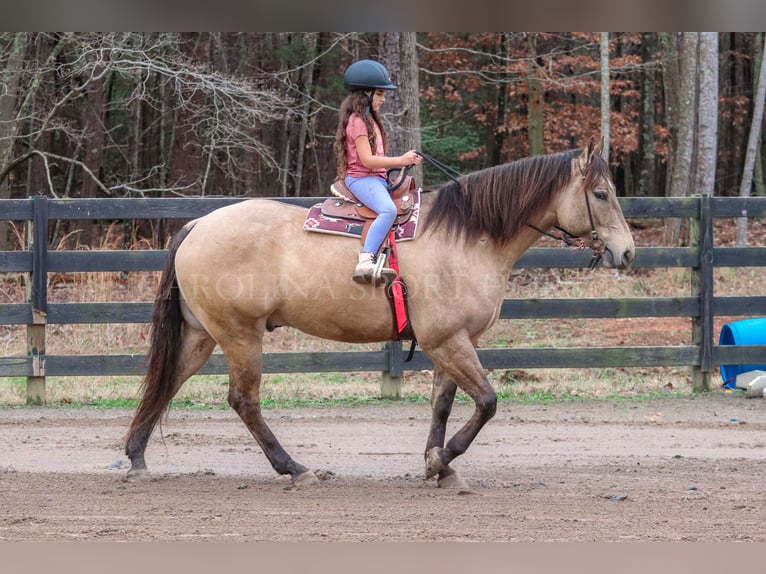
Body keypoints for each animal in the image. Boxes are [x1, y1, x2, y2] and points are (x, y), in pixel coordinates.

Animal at [123, 140, 636, 490]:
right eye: (602, 194)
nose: (628, 252)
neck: (468, 236)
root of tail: (198, 224)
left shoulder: (453, 341)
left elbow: (443, 405)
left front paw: (439, 467)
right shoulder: (448, 340)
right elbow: (488, 402)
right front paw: (442, 460)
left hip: (202, 335)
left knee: (166, 382)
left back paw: (136, 458)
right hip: (240, 335)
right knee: (243, 401)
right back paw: (295, 469)